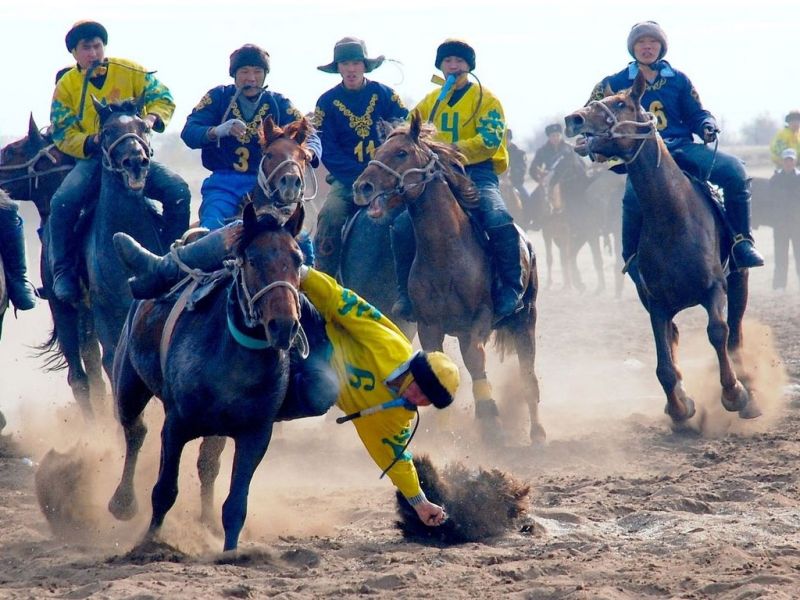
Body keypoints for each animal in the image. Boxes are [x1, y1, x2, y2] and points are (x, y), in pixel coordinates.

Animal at [111, 203, 310, 552]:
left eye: (297, 259)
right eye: (253, 260)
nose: (284, 326)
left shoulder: (256, 434)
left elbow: (235, 503)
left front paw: (230, 550)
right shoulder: (175, 425)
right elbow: (164, 490)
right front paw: (150, 541)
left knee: (207, 464)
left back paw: (205, 521)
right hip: (128, 384)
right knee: (135, 431)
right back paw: (123, 502)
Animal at [352, 113, 544, 446]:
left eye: (401, 153)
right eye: (378, 150)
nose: (362, 186)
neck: (446, 254)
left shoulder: (478, 320)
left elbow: (475, 361)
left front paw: (490, 420)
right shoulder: (429, 326)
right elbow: (436, 364)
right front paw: (443, 430)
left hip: (526, 320)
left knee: (527, 376)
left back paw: (537, 432)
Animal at [564, 70, 760, 424]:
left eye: (621, 103)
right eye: (596, 99)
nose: (574, 119)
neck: (674, 218)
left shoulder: (714, 288)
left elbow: (717, 331)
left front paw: (734, 392)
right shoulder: (656, 303)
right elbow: (663, 365)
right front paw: (680, 406)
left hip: (740, 279)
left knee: (735, 331)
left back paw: (748, 392)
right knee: (676, 337)